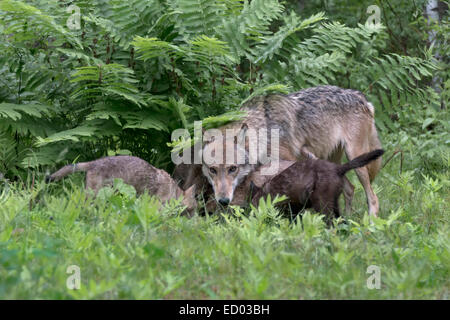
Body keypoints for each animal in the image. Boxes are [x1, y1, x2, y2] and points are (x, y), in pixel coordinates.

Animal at [45, 156, 197, 214]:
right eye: (191, 210)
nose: (196, 222)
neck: (173, 191)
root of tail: (94, 162)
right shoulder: (157, 205)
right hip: (94, 196)